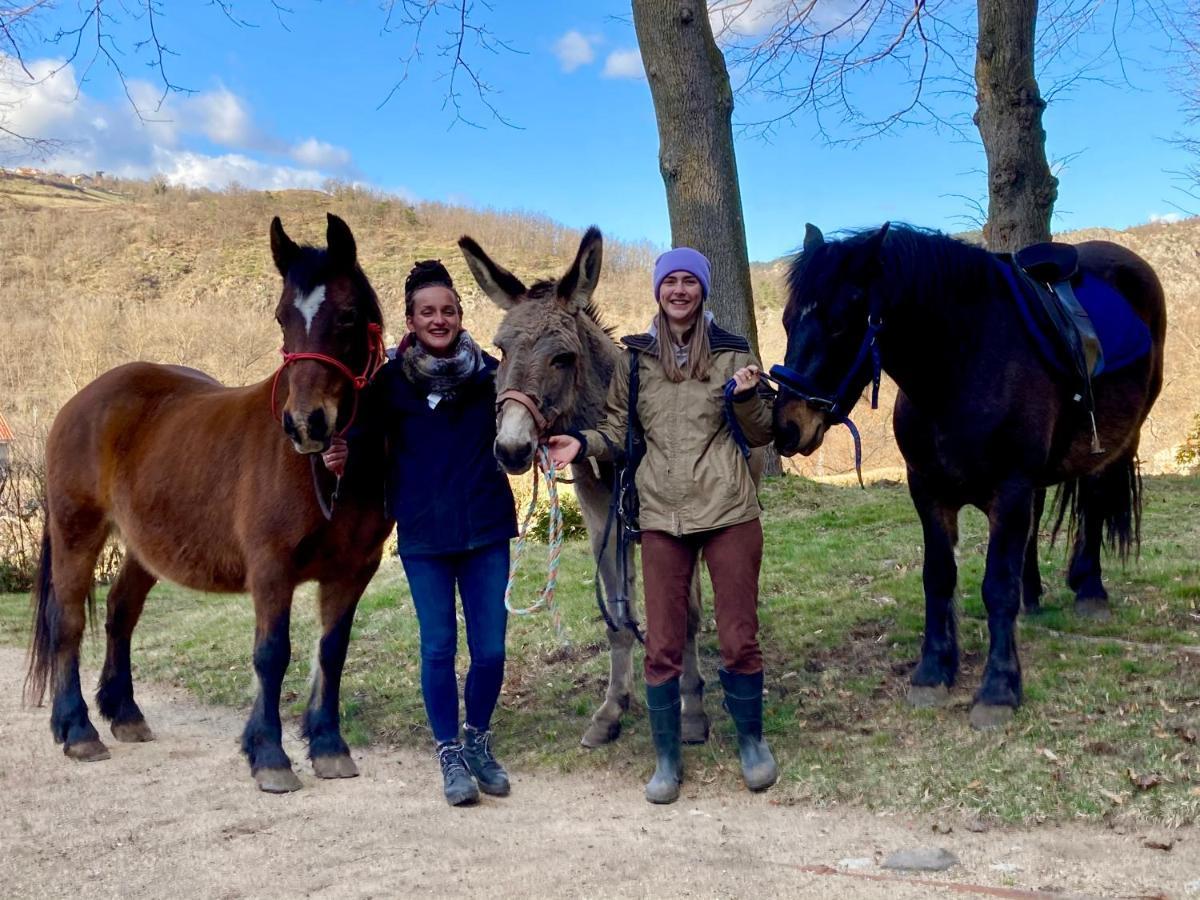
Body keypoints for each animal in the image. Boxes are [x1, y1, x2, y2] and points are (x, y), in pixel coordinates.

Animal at [25, 214, 393, 792]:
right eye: (283, 316)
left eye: (348, 314)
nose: (305, 424)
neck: (330, 470)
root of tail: (81, 400)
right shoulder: (271, 568)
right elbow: (272, 655)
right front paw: (269, 754)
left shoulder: (353, 571)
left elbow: (331, 653)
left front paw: (329, 746)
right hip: (76, 531)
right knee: (66, 622)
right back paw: (78, 729)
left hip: (143, 548)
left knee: (120, 612)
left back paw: (124, 714)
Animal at [451, 230, 710, 748]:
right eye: (501, 351)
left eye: (563, 358)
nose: (512, 448)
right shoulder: (601, 519)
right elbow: (617, 618)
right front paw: (612, 709)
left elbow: (685, 612)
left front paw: (690, 706)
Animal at [772, 225, 1166, 734]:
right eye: (786, 322)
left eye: (840, 324)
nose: (786, 426)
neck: (961, 367)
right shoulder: (928, 491)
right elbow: (939, 578)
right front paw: (933, 671)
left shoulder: (1010, 488)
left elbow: (997, 586)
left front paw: (998, 687)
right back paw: (1034, 595)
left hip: (1116, 442)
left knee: (1094, 504)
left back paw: (1090, 589)